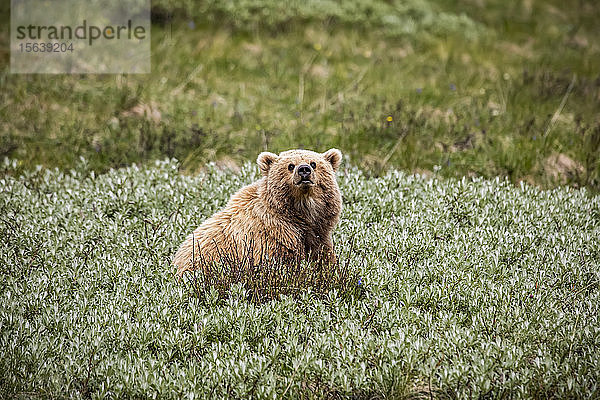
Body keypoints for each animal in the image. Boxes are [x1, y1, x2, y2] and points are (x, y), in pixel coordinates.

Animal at [173, 148, 342, 276]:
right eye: (290, 165)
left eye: (314, 163)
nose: (304, 170)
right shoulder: (269, 238)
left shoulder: (319, 234)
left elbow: (324, 259)